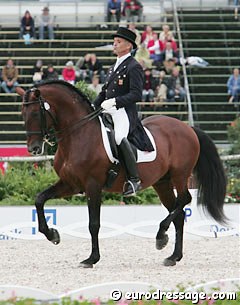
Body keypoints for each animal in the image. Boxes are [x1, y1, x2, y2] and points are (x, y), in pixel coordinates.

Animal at [16, 80, 227, 266]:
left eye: (35, 113)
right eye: (22, 114)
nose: (33, 149)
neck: (79, 135)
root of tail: (187, 127)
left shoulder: (93, 186)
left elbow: (94, 224)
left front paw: (91, 259)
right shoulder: (71, 184)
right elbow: (40, 199)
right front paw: (52, 234)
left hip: (180, 176)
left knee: (184, 200)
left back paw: (160, 236)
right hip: (162, 183)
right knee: (179, 214)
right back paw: (173, 256)